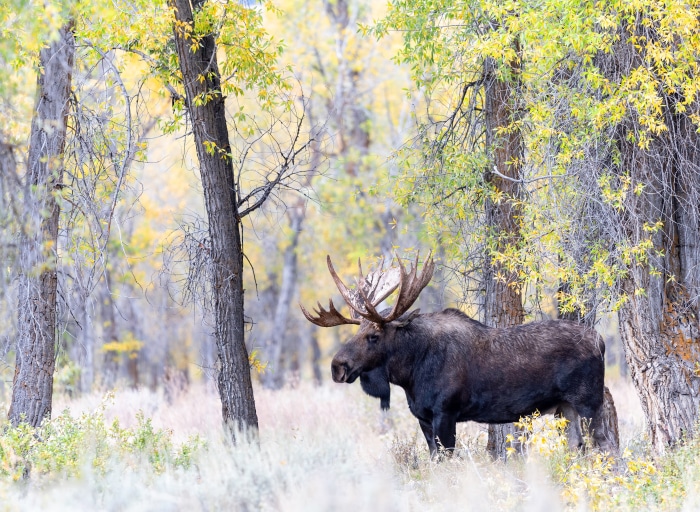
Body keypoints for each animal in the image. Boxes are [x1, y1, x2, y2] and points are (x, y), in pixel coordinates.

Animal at [300, 252, 617, 457]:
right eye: (355, 332)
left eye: (373, 336)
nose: (338, 366)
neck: (410, 374)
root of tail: (601, 341)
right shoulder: (423, 417)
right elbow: (434, 459)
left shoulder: (446, 413)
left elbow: (448, 459)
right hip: (566, 406)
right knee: (577, 446)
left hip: (588, 402)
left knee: (605, 446)